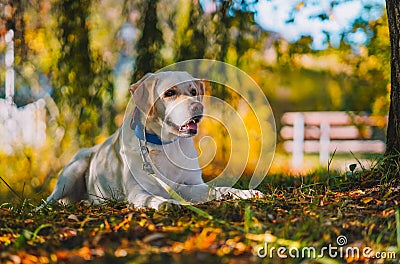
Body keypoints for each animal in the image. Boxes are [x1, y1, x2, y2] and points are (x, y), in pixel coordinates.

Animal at [45, 71, 260, 209]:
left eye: (193, 92)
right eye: (170, 93)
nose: (198, 107)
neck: (165, 146)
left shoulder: (191, 185)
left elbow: (219, 188)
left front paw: (244, 193)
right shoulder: (137, 191)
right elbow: (151, 198)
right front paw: (168, 203)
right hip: (73, 170)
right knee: (48, 200)